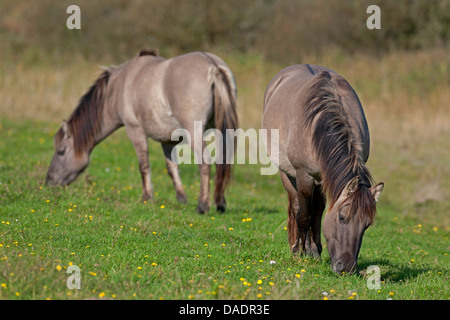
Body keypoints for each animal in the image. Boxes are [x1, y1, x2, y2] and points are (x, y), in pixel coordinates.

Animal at [45, 50, 239, 214]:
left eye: (61, 152)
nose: (49, 181)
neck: (118, 87)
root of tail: (213, 65)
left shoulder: (135, 131)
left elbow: (143, 165)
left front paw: (147, 197)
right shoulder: (167, 140)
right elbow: (171, 167)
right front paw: (181, 198)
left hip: (195, 132)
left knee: (205, 162)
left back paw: (203, 205)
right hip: (222, 130)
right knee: (223, 162)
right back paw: (220, 204)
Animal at [262, 64, 384, 272]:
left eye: (366, 225)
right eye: (342, 218)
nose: (346, 268)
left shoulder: (323, 177)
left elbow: (317, 214)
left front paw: (315, 251)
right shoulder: (304, 175)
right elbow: (303, 215)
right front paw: (300, 254)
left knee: (316, 209)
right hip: (287, 174)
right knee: (296, 205)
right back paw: (296, 248)